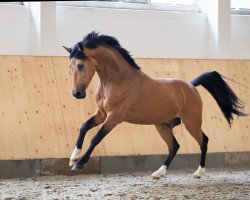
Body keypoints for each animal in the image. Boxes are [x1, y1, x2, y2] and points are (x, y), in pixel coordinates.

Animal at [63, 31, 246, 180]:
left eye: (80, 65)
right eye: (69, 67)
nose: (77, 94)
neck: (118, 80)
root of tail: (191, 85)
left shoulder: (115, 117)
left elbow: (96, 137)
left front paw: (79, 163)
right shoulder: (102, 113)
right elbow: (84, 126)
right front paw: (73, 157)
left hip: (191, 122)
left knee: (203, 141)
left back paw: (198, 172)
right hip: (162, 125)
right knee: (174, 146)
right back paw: (159, 173)